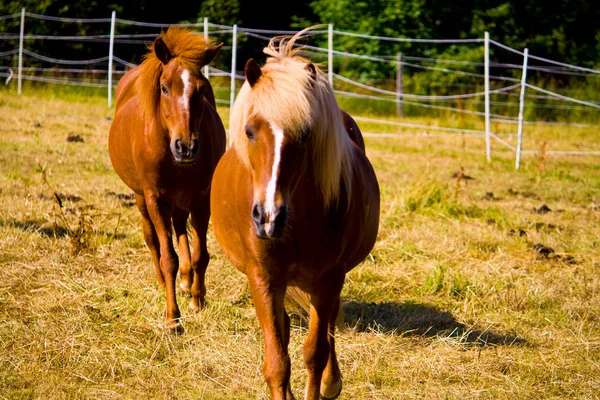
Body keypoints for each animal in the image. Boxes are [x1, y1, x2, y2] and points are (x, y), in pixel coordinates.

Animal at [108, 26, 225, 330]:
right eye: (164, 88)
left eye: (201, 90)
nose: (186, 147)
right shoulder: (156, 199)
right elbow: (167, 256)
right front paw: (173, 317)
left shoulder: (201, 198)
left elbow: (200, 254)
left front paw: (198, 299)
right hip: (141, 198)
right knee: (153, 241)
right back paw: (163, 283)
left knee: (180, 229)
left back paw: (186, 281)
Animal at [211, 28, 380, 400]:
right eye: (249, 131)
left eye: (305, 135)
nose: (268, 218)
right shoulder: (263, 278)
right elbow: (277, 361)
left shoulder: (329, 279)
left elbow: (315, 352)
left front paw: (326, 383)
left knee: (327, 327)